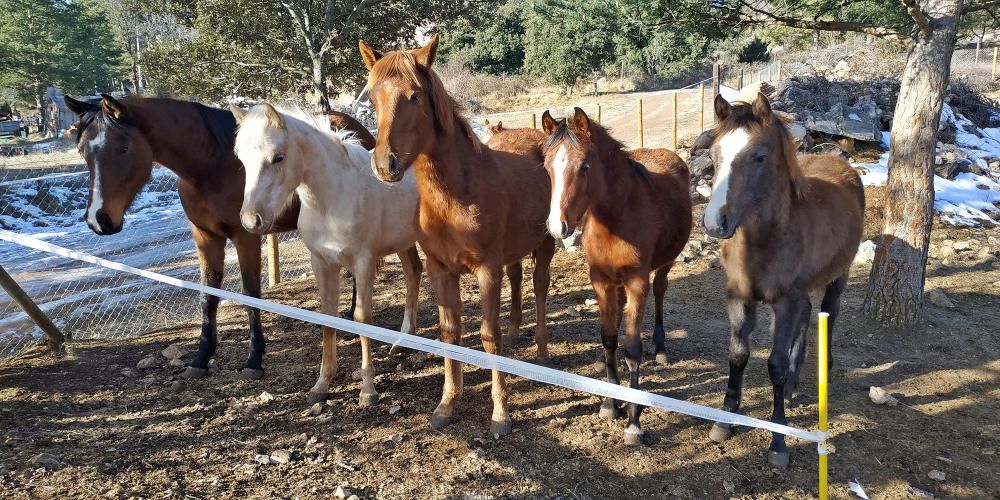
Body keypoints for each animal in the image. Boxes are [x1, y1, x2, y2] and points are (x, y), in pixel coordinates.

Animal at [63, 95, 376, 380]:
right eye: (81, 151)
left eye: (123, 148)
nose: (98, 219)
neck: (211, 165)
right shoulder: (205, 236)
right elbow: (208, 296)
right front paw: (201, 358)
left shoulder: (245, 236)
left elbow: (251, 294)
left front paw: (254, 358)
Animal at [233, 104, 422, 406]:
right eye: (241, 159)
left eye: (278, 157)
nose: (252, 220)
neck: (332, 200)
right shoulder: (321, 263)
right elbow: (327, 318)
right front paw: (321, 385)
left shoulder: (363, 263)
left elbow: (362, 319)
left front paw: (368, 390)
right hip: (404, 241)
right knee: (414, 273)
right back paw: (403, 341)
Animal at [362, 35, 564, 436]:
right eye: (373, 96)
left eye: (414, 96)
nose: (384, 165)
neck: (455, 195)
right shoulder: (440, 269)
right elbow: (449, 332)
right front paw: (446, 404)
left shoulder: (487, 270)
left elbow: (488, 335)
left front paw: (501, 414)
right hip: (512, 252)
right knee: (517, 279)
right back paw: (518, 335)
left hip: (545, 245)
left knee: (539, 288)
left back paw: (542, 351)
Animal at [544, 107, 692, 444]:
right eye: (547, 166)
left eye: (585, 166)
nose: (558, 226)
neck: (618, 219)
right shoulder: (601, 281)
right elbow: (609, 339)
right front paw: (611, 403)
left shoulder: (638, 283)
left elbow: (632, 348)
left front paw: (634, 421)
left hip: (664, 265)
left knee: (661, 291)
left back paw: (661, 348)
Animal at [700, 94, 864, 468]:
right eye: (714, 155)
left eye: (759, 156)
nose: (715, 222)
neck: (765, 242)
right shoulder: (739, 296)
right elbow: (738, 355)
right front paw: (725, 420)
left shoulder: (784, 301)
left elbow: (773, 364)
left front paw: (778, 440)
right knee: (805, 317)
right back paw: (791, 387)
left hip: (838, 278)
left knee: (828, 314)